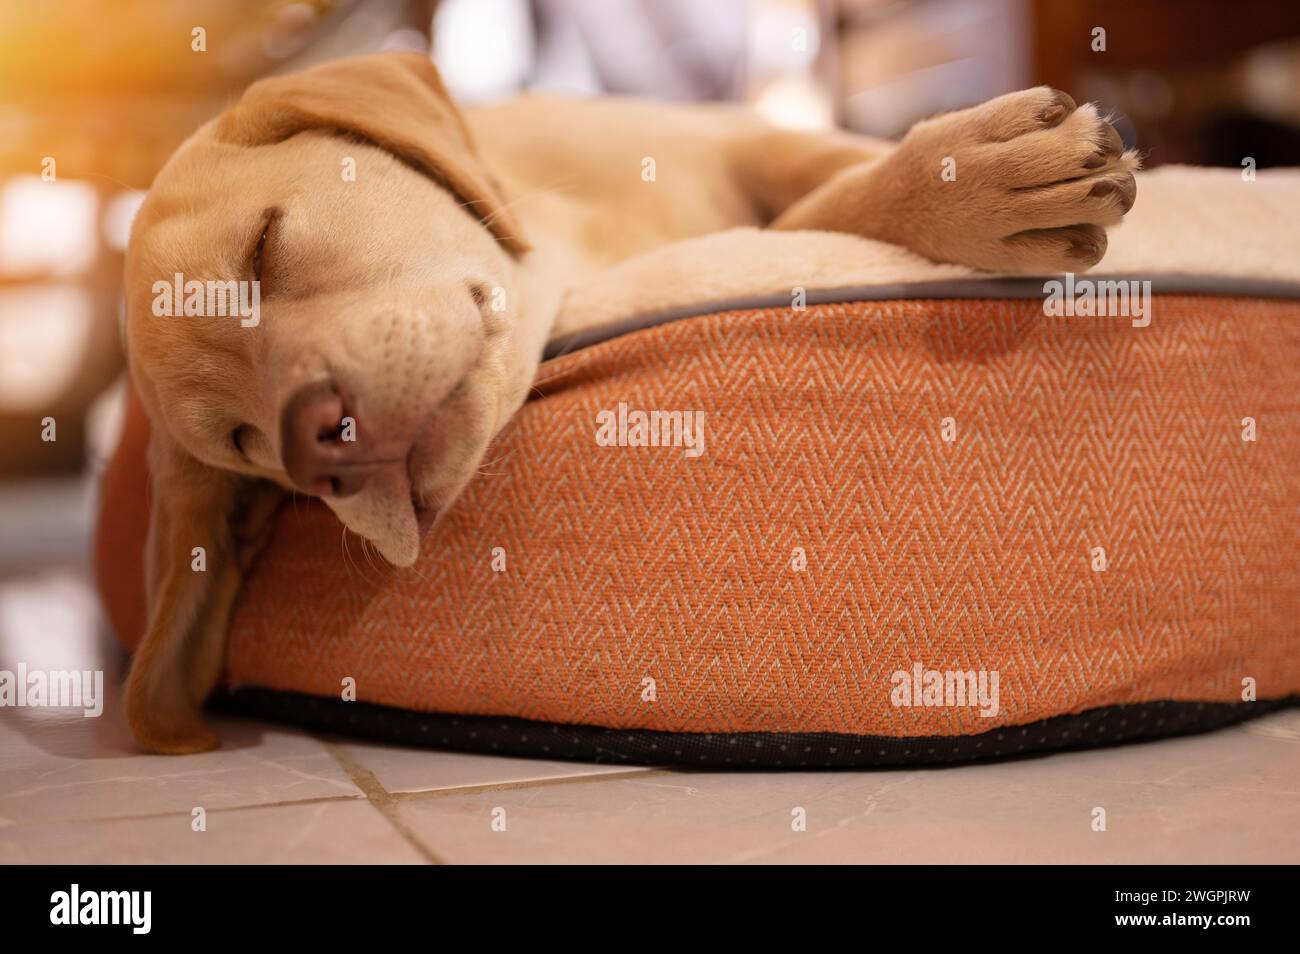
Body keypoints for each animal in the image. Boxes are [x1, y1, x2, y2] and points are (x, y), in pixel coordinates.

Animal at [124, 52, 1138, 753]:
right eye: (245, 445)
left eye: (265, 247)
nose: (313, 444)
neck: (579, 240)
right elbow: (811, 216)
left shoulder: (735, 138)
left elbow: (830, 175)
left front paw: (956, 173)